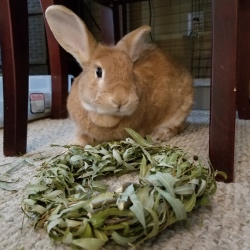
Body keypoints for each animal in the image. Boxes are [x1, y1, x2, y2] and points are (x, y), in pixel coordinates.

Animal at [45, 5, 193, 146]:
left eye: (131, 72)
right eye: (98, 71)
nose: (120, 99)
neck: (105, 117)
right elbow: (81, 138)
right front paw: (73, 145)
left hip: (181, 110)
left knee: (178, 127)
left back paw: (159, 135)